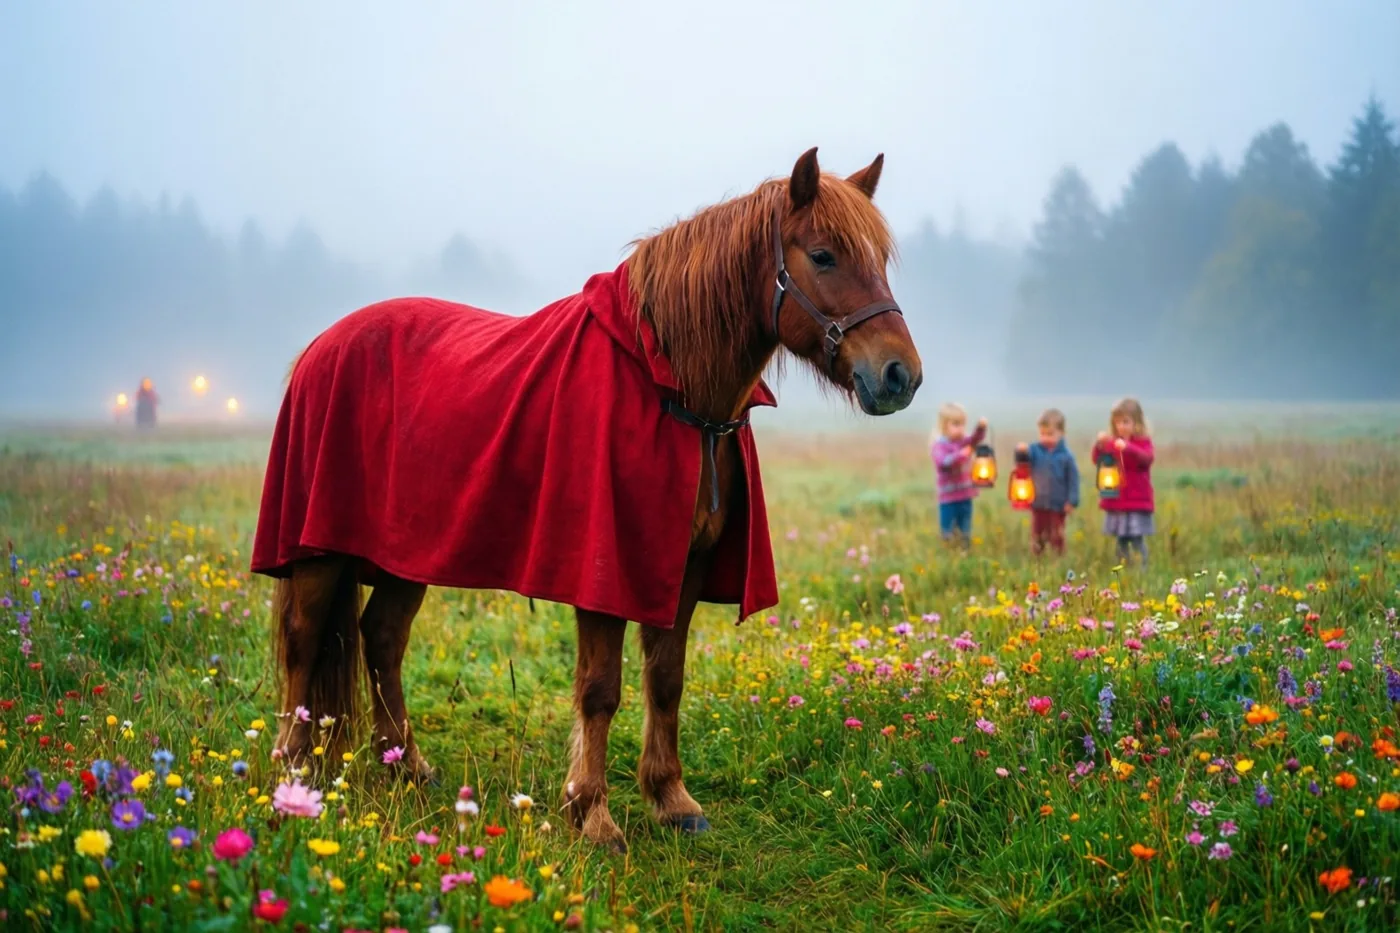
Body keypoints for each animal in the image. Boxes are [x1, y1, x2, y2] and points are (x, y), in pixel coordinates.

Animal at [252, 147, 922, 852]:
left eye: (879, 257)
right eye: (822, 255)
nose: (899, 375)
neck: (670, 387)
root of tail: (321, 345)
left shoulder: (683, 568)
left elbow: (667, 679)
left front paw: (671, 799)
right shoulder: (605, 576)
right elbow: (601, 689)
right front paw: (592, 813)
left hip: (406, 554)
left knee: (381, 638)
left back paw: (406, 766)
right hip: (319, 550)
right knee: (303, 643)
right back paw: (292, 772)